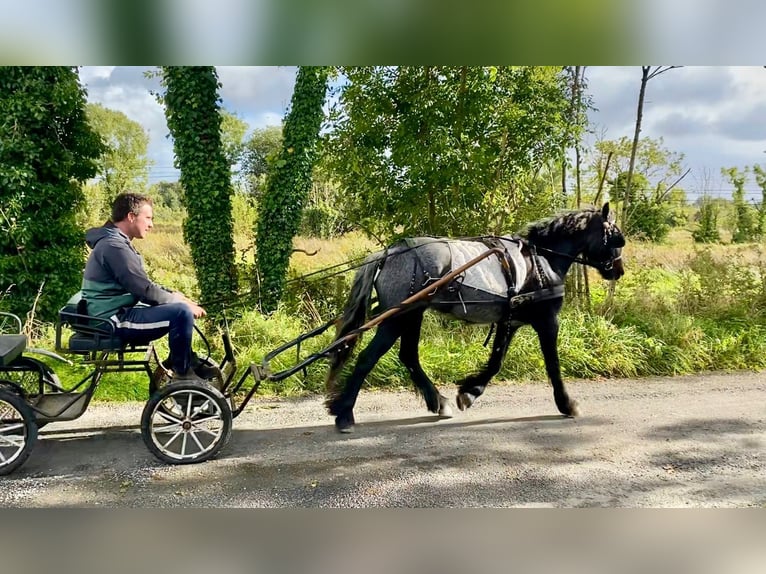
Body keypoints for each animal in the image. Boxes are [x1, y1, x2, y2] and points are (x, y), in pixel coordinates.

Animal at [324, 202, 624, 432]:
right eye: (615, 238)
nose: (618, 271)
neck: (542, 260)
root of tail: (389, 253)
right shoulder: (547, 320)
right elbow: (552, 364)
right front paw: (567, 404)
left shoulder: (510, 320)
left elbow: (496, 362)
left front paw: (468, 392)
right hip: (397, 317)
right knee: (368, 358)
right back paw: (345, 414)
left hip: (412, 314)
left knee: (408, 356)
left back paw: (438, 402)